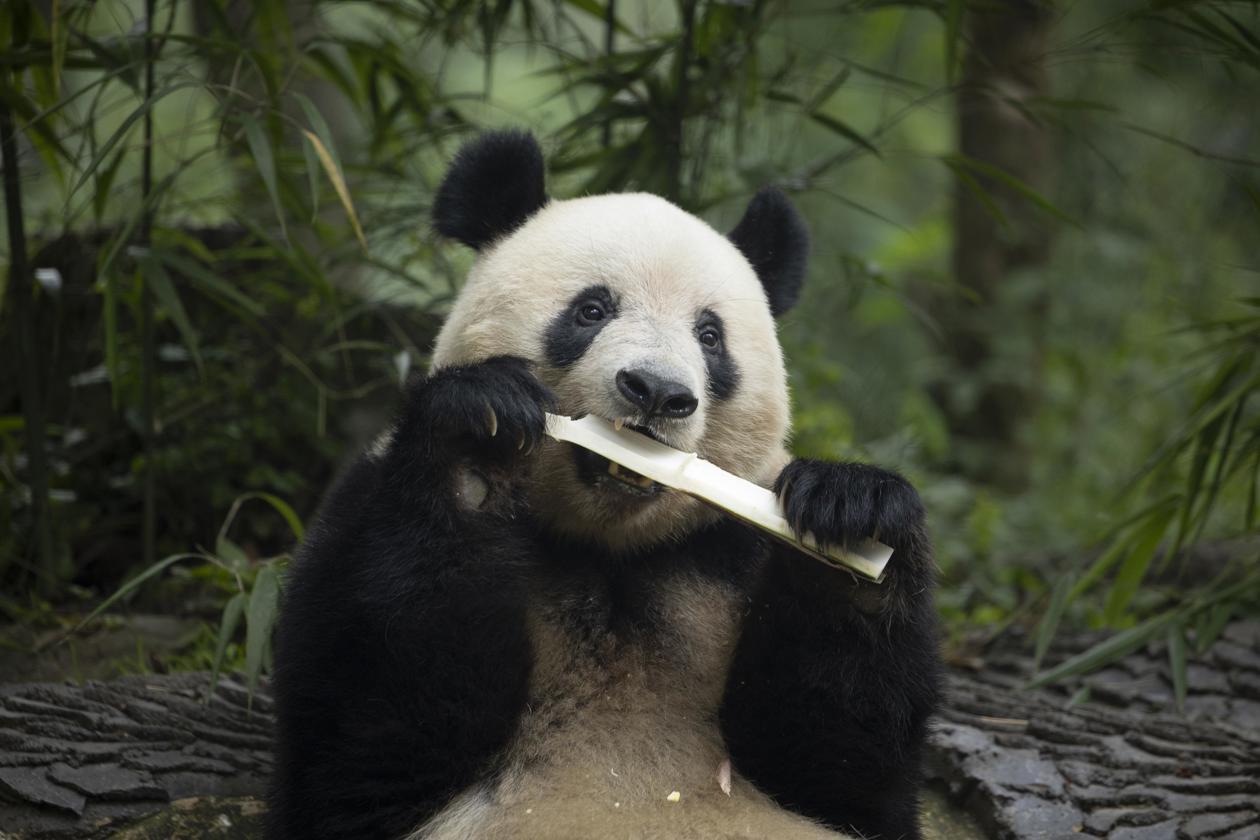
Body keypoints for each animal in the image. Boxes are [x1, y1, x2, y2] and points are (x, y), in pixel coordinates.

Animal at [267, 131, 941, 840]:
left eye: (710, 335)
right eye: (591, 309)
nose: (658, 392)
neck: (610, 547)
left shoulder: (728, 551)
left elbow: (841, 765)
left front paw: (850, 521)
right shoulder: (362, 507)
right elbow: (366, 739)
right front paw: (478, 434)